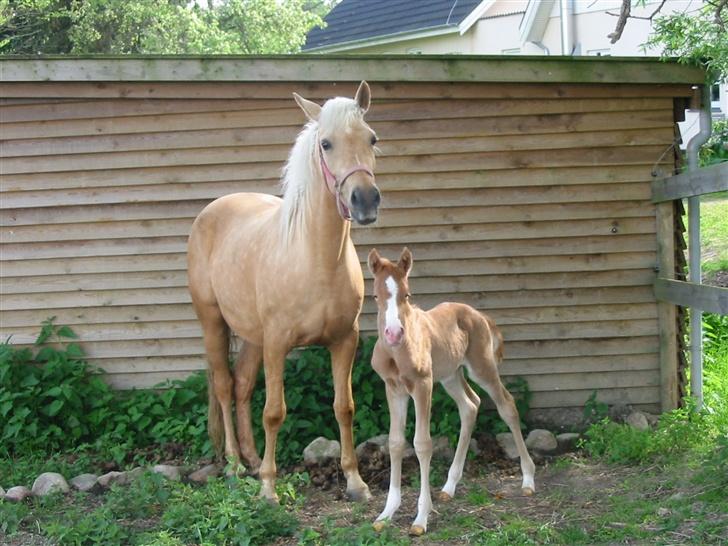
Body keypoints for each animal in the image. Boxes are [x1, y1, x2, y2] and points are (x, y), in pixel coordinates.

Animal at [186, 82, 382, 502]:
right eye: (325, 143)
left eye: (372, 138)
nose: (365, 200)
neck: (316, 259)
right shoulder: (277, 344)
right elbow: (274, 412)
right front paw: (268, 489)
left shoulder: (345, 340)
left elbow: (344, 407)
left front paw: (355, 482)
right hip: (214, 323)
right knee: (224, 387)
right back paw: (233, 465)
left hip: (252, 337)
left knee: (242, 385)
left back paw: (252, 459)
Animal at [370, 246, 536, 532]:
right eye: (376, 296)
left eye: (407, 295)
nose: (393, 333)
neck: (396, 353)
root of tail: (480, 315)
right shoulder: (394, 389)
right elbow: (395, 442)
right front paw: (386, 513)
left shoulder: (423, 384)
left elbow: (422, 444)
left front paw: (421, 517)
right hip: (450, 376)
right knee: (470, 405)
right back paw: (449, 486)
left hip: (482, 367)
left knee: (507, 405)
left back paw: (528, 479)